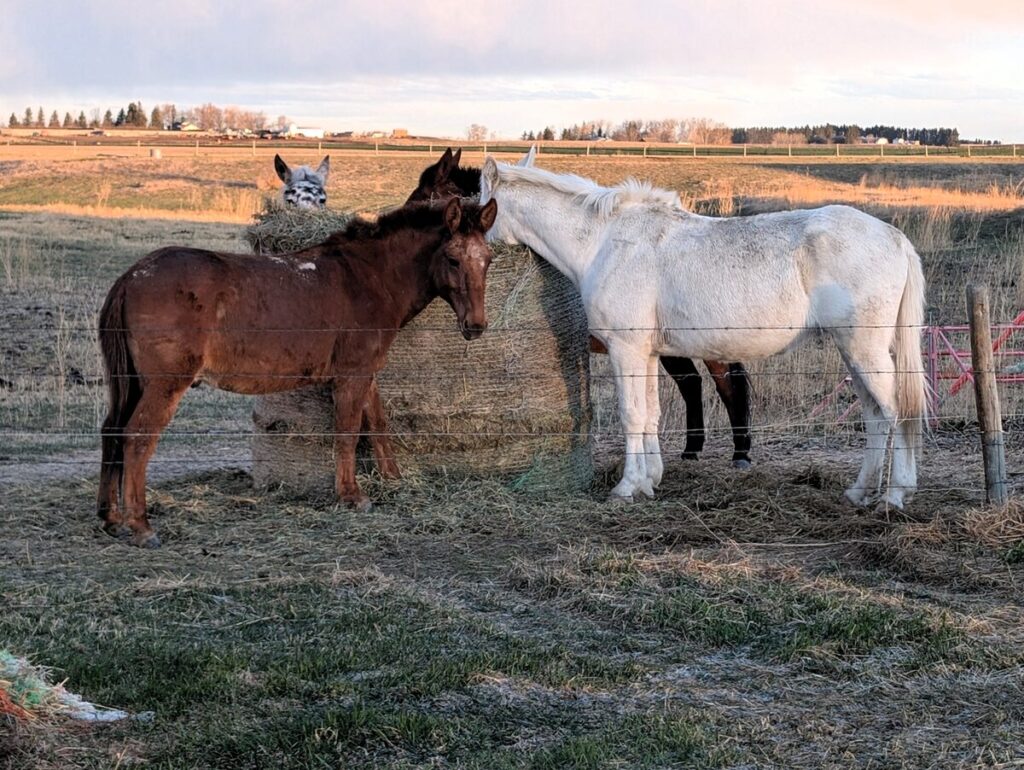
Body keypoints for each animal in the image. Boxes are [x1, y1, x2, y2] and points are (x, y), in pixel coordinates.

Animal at [97, 197, 498, 547]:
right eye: (452, 259)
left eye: (488, 260)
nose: (476, 326)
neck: (369, 278)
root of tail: (132, 277)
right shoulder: (351, 376)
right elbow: (348, 433)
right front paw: (352, 496)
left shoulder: (366, 374)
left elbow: (377, 423)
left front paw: (393, 480)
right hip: (164, 386)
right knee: (136, 438)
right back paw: (141, 526)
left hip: (131, 384)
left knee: (112, 431)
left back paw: (111, 518)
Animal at [479, 158, 927, 509]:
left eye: (475, 206)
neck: (606, 242)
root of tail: (894, 237)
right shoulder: (647, 353)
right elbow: (650, 413)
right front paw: (649, 481)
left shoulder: (626, 349)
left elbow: (631, 414)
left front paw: (626, 486)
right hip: (854, 352)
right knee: (874, 415)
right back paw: (860, 491)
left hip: (864, 349)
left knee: (896, 412)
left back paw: (894, 495)